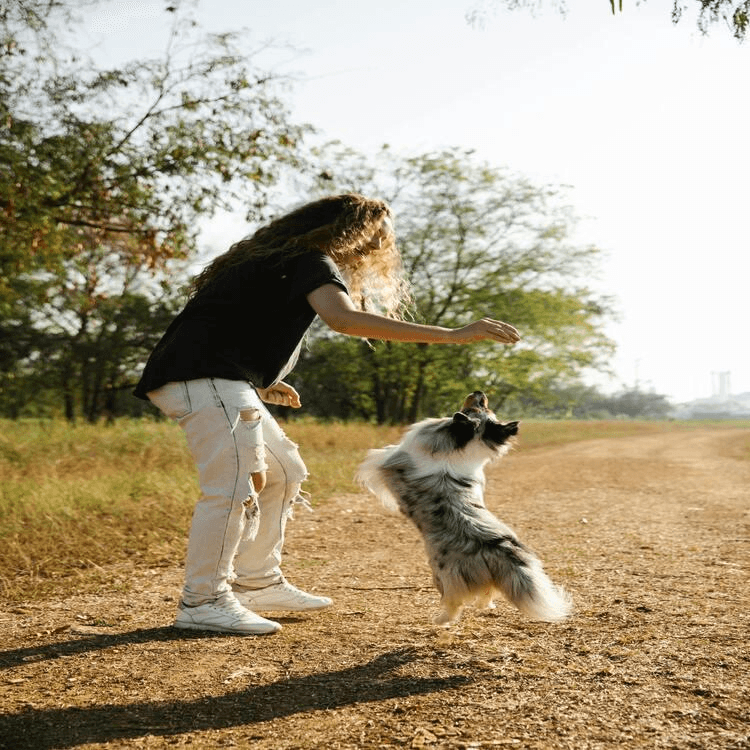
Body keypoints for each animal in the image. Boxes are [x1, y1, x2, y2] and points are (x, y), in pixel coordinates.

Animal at [356, 394, 572, 628]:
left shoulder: (386, 462)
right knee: (489, 590)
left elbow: (379, 458)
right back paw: (484, 606)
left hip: (443, 575)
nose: (479, 392)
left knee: (454, 602)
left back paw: (441, 620)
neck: (462, 447)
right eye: (483, 405)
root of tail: (500, 548)